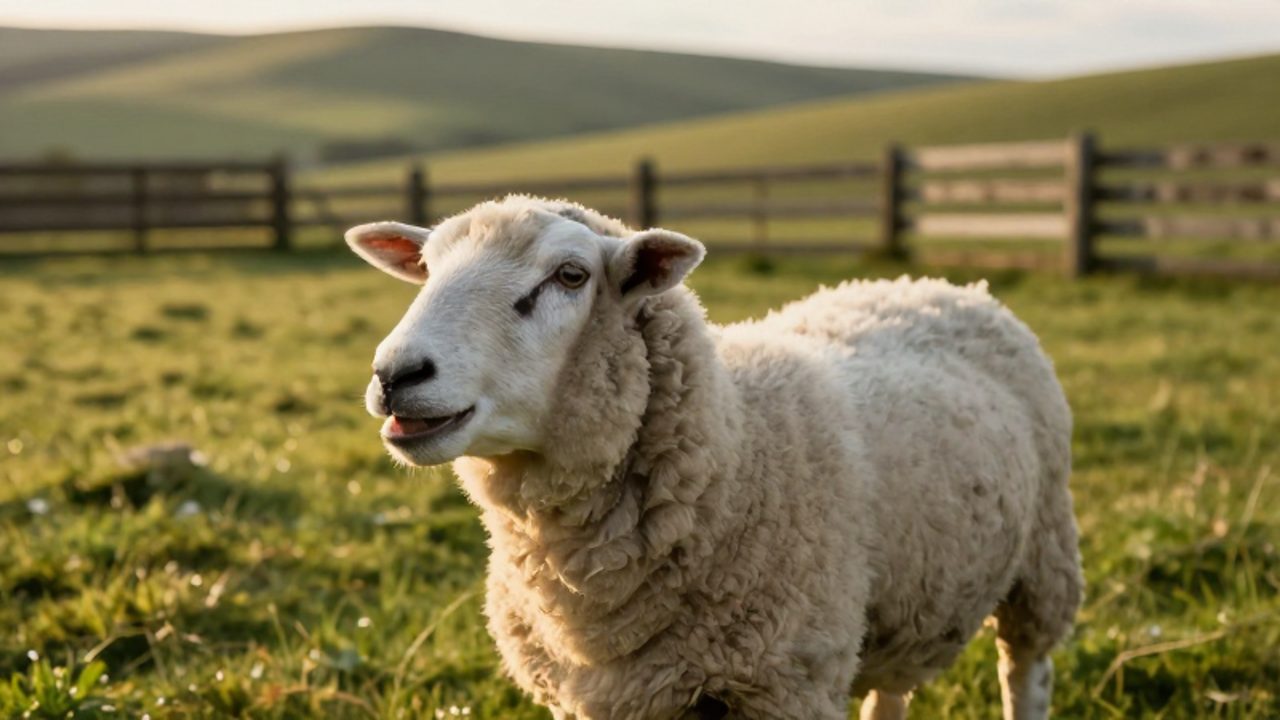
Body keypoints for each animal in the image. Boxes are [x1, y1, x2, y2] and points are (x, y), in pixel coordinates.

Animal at [345, 195, 1083, 720]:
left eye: (571, 275)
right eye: (427, 270)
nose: (395, 373)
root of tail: (938, 283)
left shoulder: (787, 685)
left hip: (1042, 564)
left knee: (1026, 673)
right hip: (906, 599)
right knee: (892, 689)